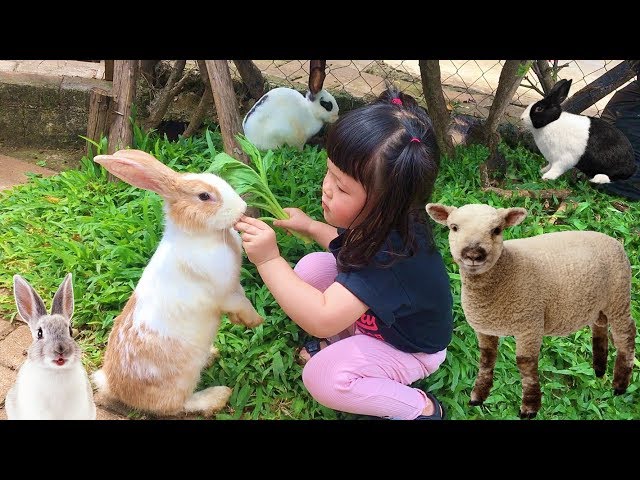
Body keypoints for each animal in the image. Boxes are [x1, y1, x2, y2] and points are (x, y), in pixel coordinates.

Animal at [90, 149, 263, 417]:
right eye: (204, 196)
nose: (242, 208)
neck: (203, 237)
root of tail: (114, 387)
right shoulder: (224, 294)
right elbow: (240, 303)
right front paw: (255, 321)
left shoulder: (234, 287)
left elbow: (241, 297)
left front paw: (242, 321)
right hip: (180, 383)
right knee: (178, 406)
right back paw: (218, 395)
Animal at [426, 202, 636, 418]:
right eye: (454, 227)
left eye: (497, 230)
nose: (474, 254)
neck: (507, 270)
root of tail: (615, 241)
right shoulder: (485, 328)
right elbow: (486, 358)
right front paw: (478, 395)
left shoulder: (530, 324)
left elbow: (525, 363)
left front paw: (530, 406)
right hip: (598, 302)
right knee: (600, 325)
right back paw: (599, 369)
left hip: (618, 295)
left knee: (626, 333)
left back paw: (620, 384)